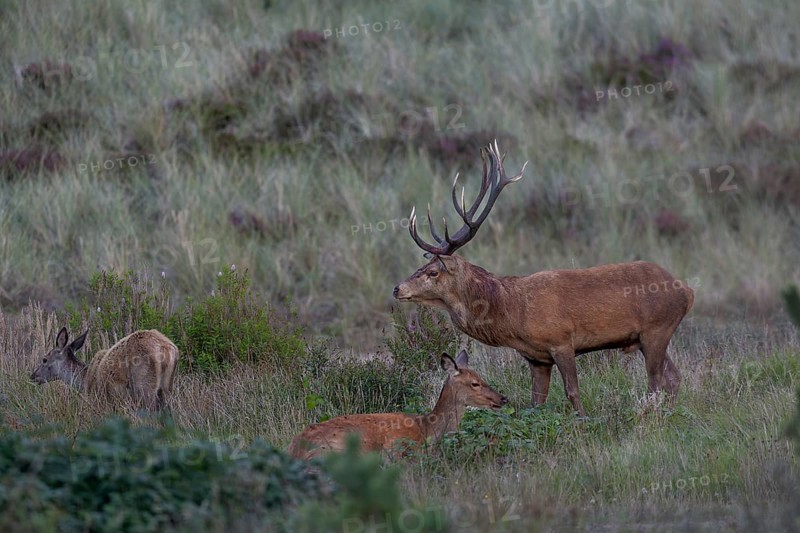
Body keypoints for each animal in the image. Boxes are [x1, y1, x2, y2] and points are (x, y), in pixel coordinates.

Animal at [31, 327, 180, 410]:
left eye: (44, 359)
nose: (33, 376)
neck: (84, 381)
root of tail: (165, 348)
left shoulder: (99, 400)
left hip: (144, 386)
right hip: (167, 389)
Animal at [393, 141, 694, 416]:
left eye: (433, 272)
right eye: (421, 267)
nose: (397, 289)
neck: (512, 314)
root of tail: (687, 291)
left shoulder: (561, 341)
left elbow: (573, 391)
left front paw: (583, 421)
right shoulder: (536, 358)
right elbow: (535, 402)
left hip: (657, 328)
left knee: (656, 382)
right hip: (650, 337)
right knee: (674, 378)